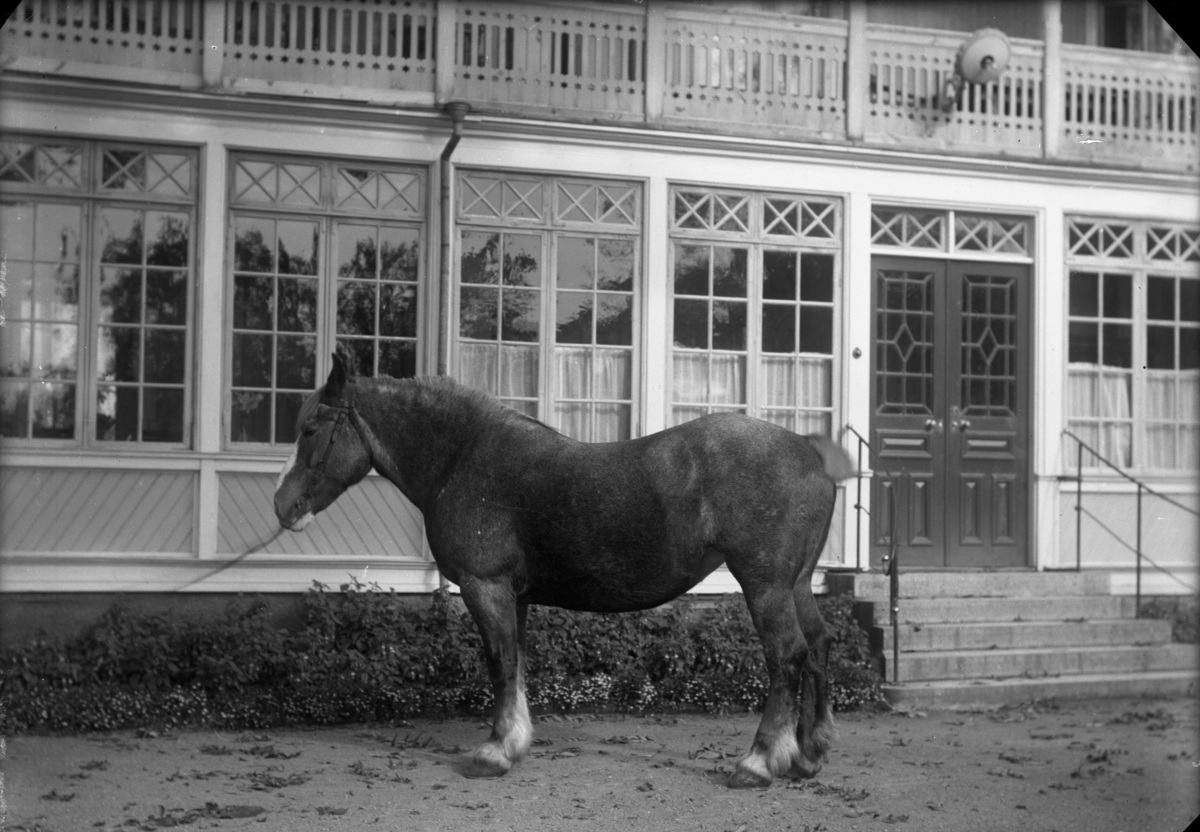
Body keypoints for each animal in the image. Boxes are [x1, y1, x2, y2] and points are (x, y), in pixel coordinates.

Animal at [274, 354, 854, 788]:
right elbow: (516, 662)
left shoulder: (485, 588)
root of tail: (808, 452)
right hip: (796, 584)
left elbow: (500, 662)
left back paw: (758, 762)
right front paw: (513, 742)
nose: (282, 506)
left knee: (788, 656)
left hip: (765, 586)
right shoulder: (515, 596)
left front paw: (494, 752)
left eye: (311, 429)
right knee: (819, 645)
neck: (461, 459)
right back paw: (807, 755)